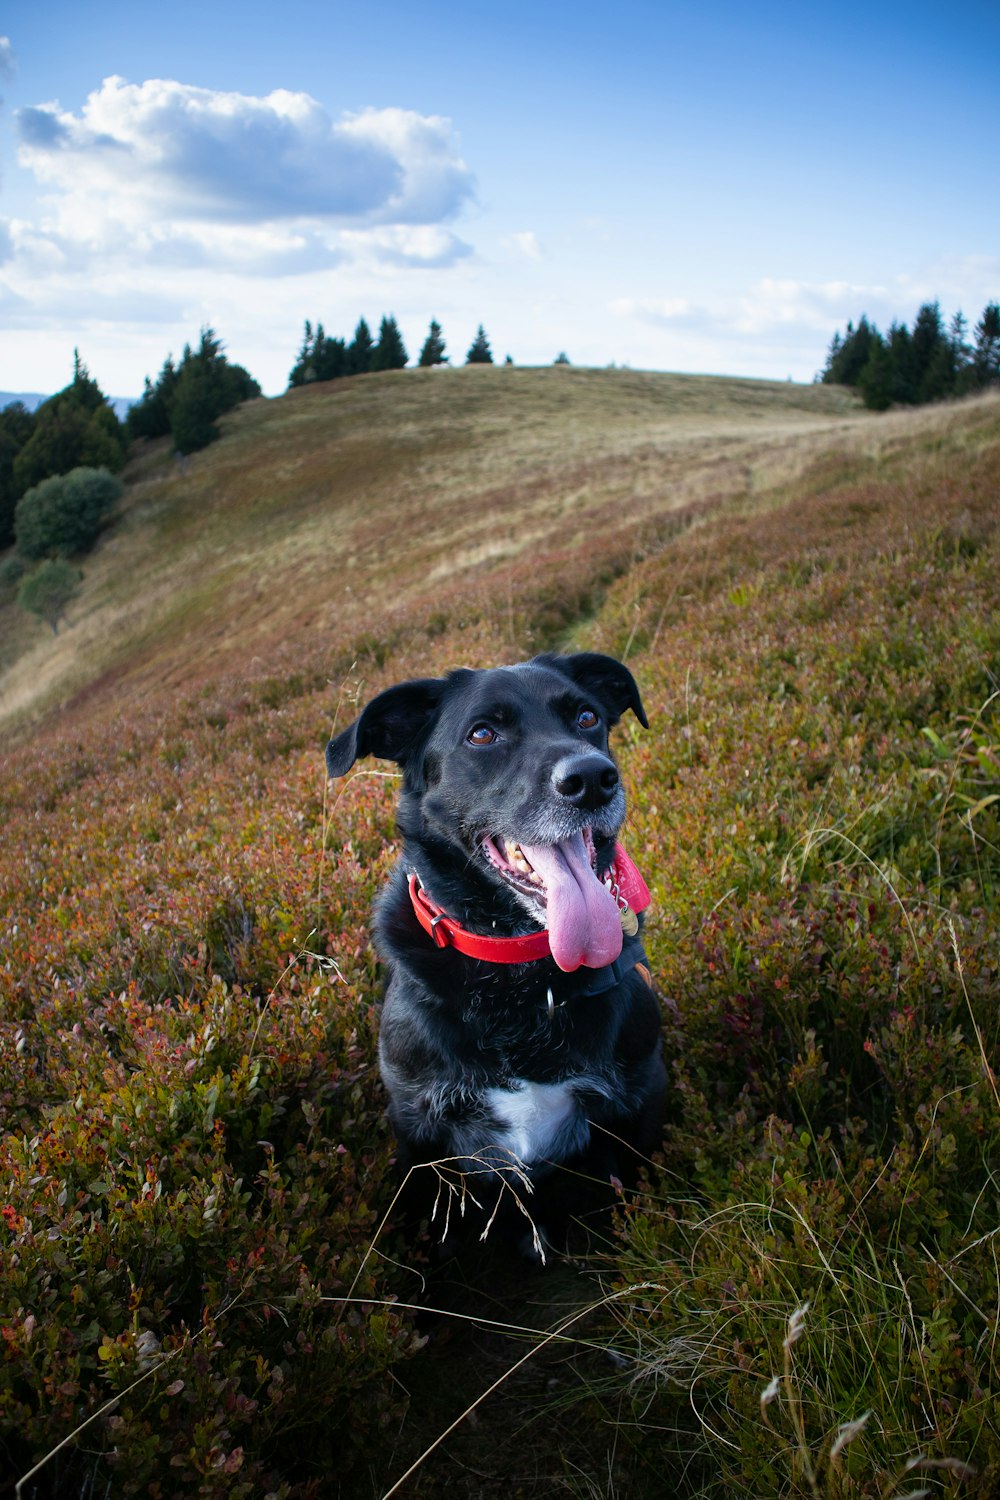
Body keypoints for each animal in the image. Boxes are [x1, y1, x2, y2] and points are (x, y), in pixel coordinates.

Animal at [326, 657, 665, 1254]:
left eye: (587, 717)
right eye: (483, 734)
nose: (593, 779)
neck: (521, 974)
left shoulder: (637, 1100)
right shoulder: (419, 1130)